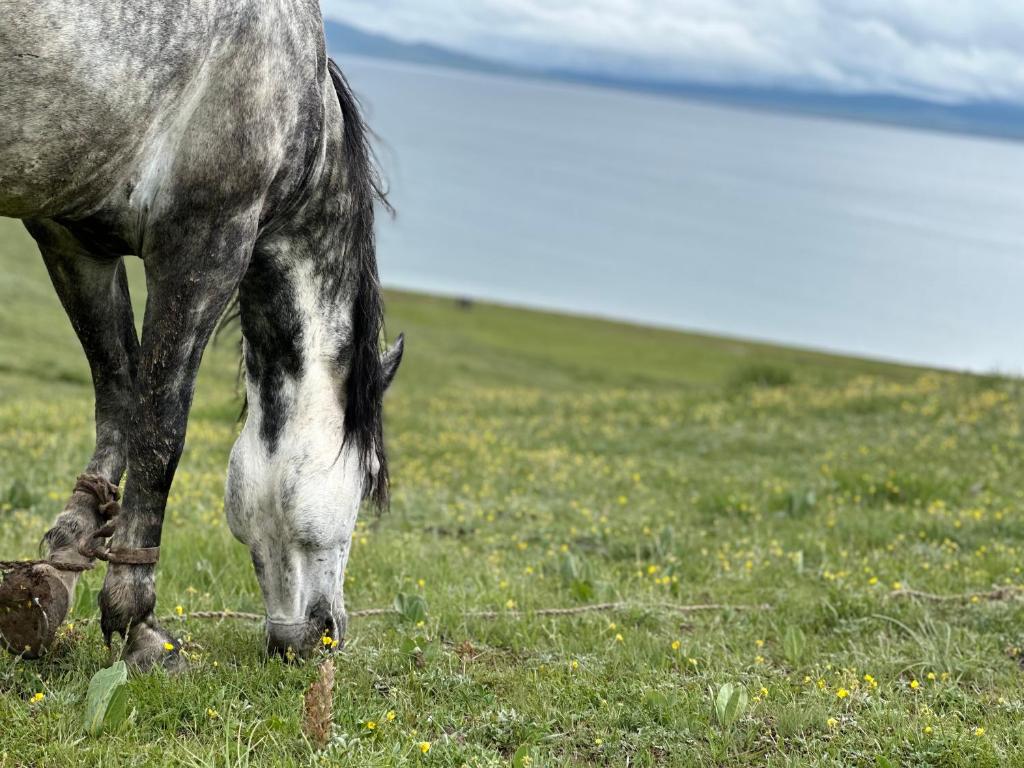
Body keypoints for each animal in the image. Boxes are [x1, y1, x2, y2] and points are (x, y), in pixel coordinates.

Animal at [0, 0, 403, 669]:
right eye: (368, 477)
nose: (323, 636)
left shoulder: (72, 238)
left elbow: (118, 400)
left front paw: (59, 567)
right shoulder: (206, 247)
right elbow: (159, 432)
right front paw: (137, 623)